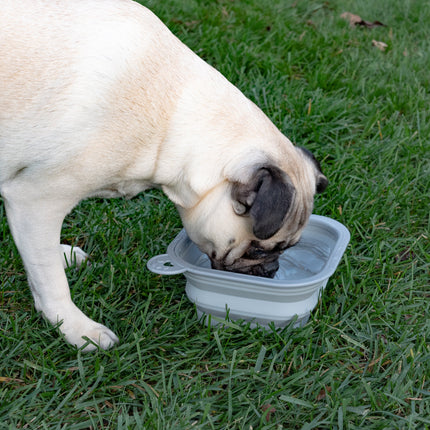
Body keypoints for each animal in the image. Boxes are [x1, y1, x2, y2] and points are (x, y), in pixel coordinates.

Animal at [0, 0, 326, 350]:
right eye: (259, 250)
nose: (273, 269)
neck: (172, 117)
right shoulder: (36, 201)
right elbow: (50, 279)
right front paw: (75, 328)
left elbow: (42, 257)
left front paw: (59, 255)